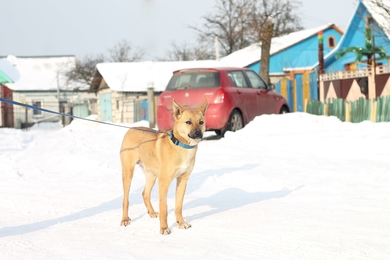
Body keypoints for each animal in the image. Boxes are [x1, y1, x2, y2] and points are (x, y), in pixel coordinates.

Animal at [120, 98, 209, 235]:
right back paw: (125, 219)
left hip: (151, 175)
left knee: (145, 194)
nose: (198, 134)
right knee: (126, 199)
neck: (181, 146)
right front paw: (164, 228)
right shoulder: (163, 182)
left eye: (201, 122)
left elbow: (178, 206)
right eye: (188, 122)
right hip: (128, 172)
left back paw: (151, 212)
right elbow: (164, 208)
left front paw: (181, 223)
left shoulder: (182, 180)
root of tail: (131, 128)